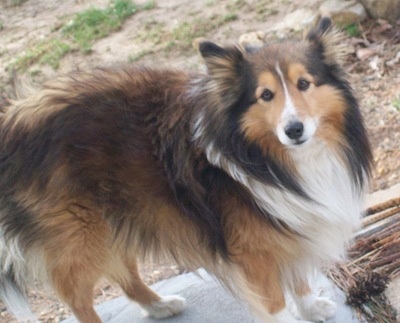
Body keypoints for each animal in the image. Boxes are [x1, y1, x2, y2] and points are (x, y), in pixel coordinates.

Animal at [0, 18, 372, 323]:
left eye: (304, 83)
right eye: (265, 95)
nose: (294, 130)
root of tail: (16, 114)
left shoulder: (289, 223)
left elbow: (296, 276)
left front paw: (310, 307)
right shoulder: (254, 249)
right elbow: (275, 303)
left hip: (113, 218)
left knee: (124, 272)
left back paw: (160, 305)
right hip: (80, 235)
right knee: (76, 297)